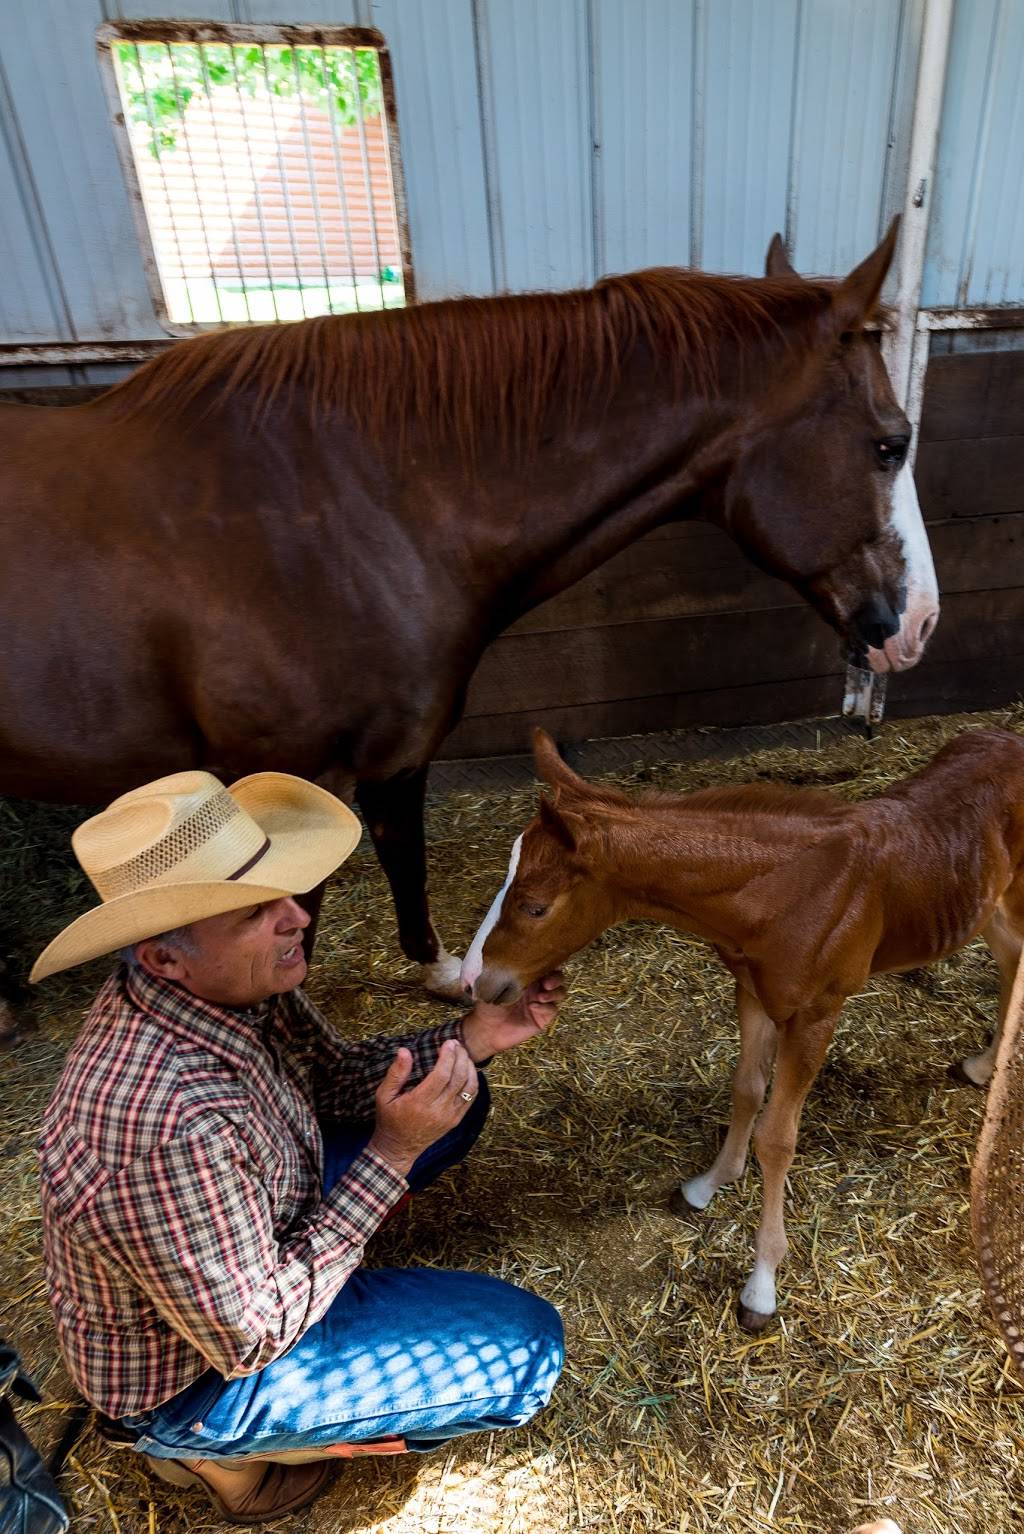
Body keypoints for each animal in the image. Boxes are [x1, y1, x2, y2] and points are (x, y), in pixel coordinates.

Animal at [462, 730, 1024, 1331]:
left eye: (534, 907)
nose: (475, 980)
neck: (783, 890)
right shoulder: (752, 993)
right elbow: (746, 1089)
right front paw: (708, 1185)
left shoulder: (815, 1015)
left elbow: (777, 1138)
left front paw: (761, 1286)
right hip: (990, 903)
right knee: (1010, 961)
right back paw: (983, 1066)